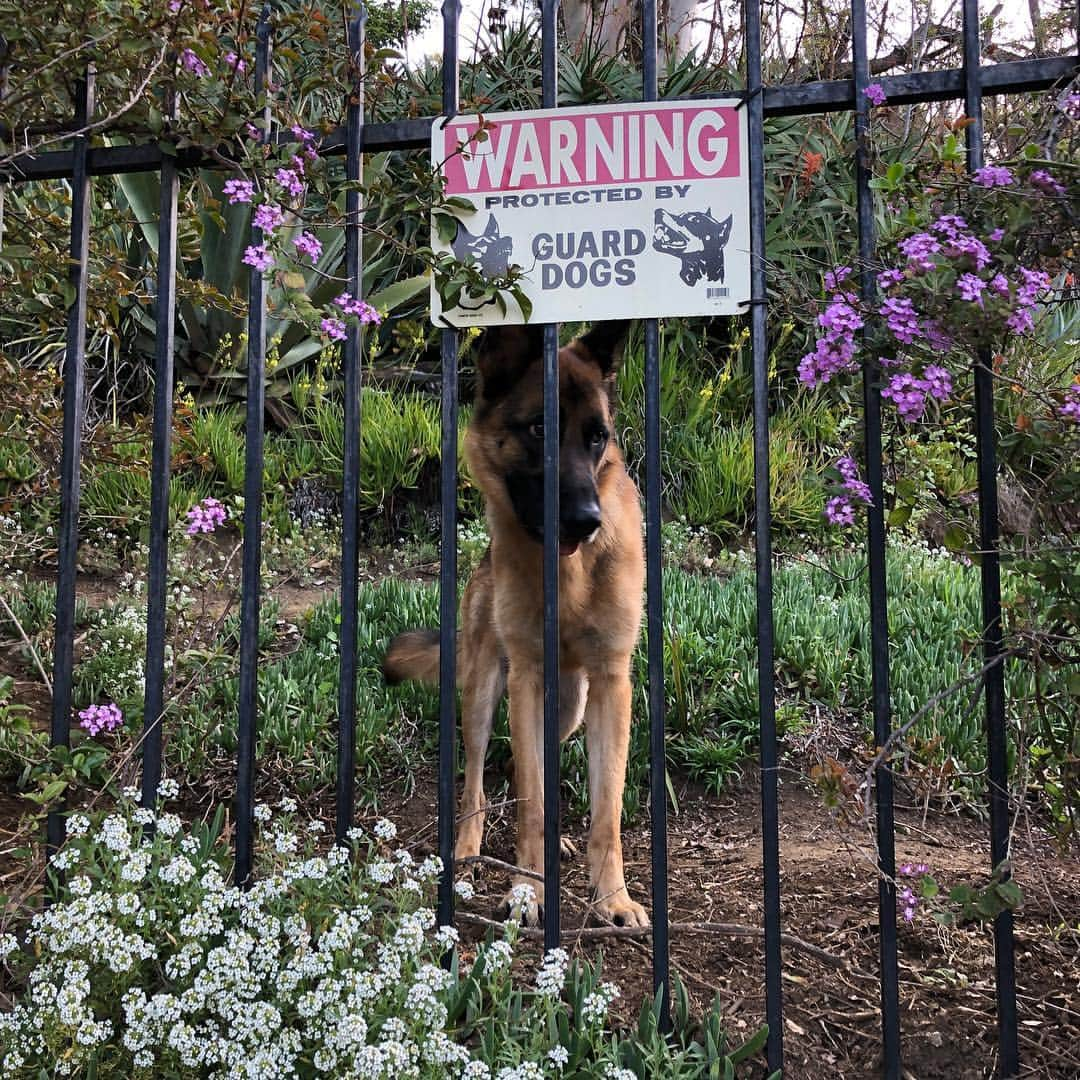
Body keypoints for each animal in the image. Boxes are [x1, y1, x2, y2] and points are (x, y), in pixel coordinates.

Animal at [384, 321, 643, 928]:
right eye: (539, 428)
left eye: (597, 437)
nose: (587, 521)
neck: (569, 575)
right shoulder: (523, 679)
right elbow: (530, 804)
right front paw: (528, 892)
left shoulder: (612, 685)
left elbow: (607, 811)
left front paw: (612, 898)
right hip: (482, 691)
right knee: (479, 781)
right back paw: (467, 851)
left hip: (570, 708)